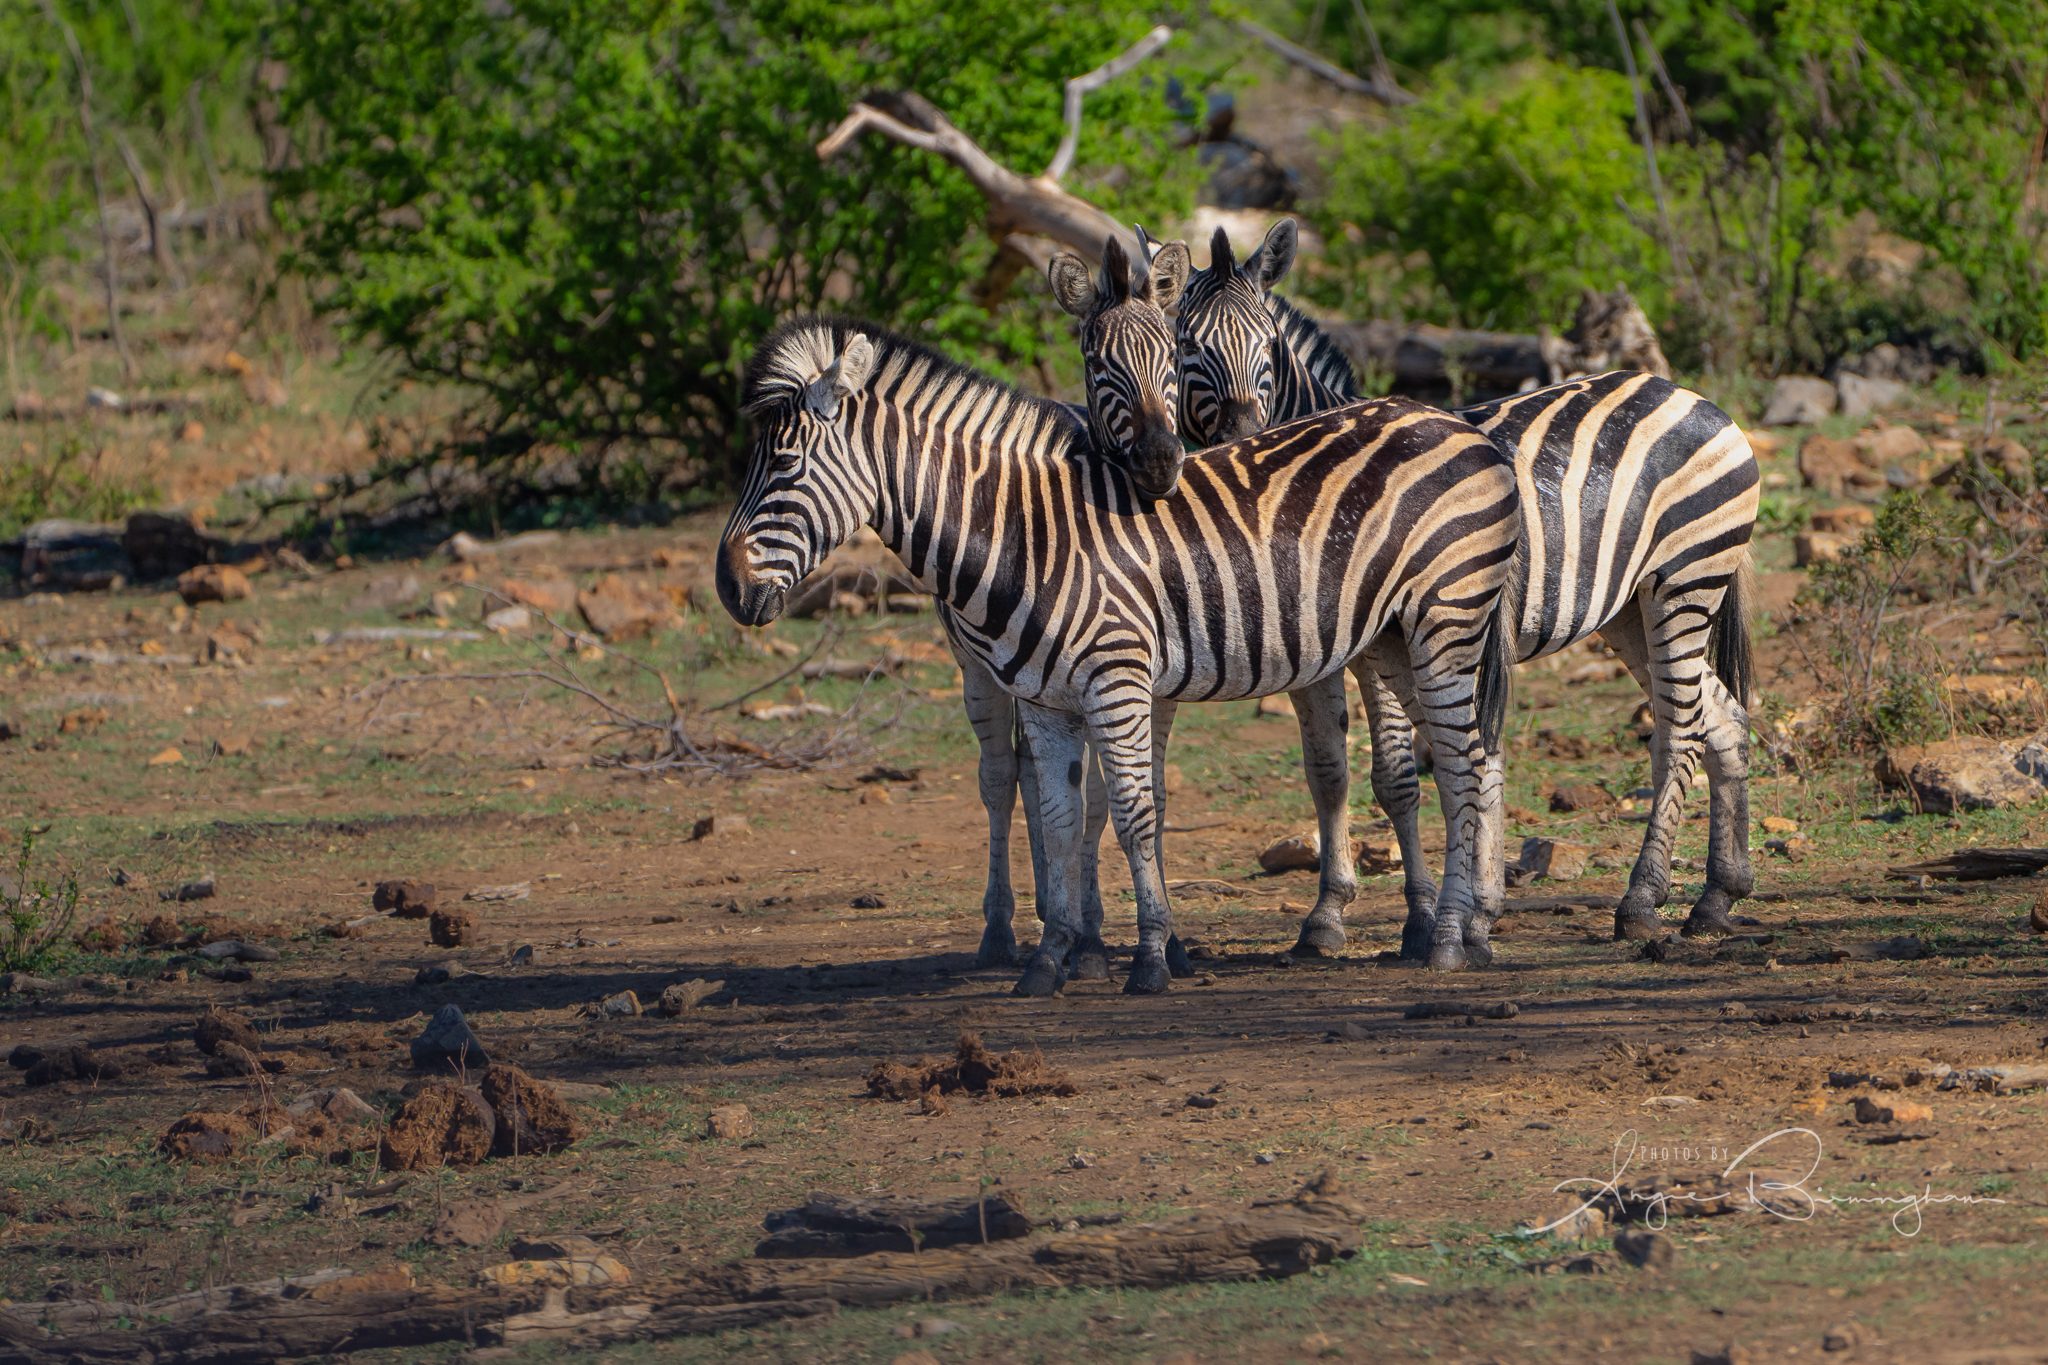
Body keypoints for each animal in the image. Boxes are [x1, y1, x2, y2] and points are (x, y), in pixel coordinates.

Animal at [716, 309, 1523, 994]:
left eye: (783, 467)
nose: (727, 586)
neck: (1027, 535)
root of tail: (1455, 422)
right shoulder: (1045, 702)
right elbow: (1058, 818)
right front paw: (1050, 959)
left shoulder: (1117, 679)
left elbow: (1133, 813)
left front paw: (1151, 957)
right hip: (1397, 638)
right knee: (1476, 758)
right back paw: (1474, 931)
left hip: (1446, 620)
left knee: (1458, 765)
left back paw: (1448, 938)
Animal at [1171, 218, 1761, 961]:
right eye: (1186, 343)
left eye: (1266, 345)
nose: (1251, 441)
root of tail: (1692, 395)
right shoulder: (1316, 646)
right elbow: (1330, 768)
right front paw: (1340, 914)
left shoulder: (1377, 640)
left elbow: (1399, 775)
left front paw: (1425, 919)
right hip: (1630, 607)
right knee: (1721, 717)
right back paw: (1717, 895)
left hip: (1685, 579)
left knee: (1679, 728)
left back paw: (1642, 899)